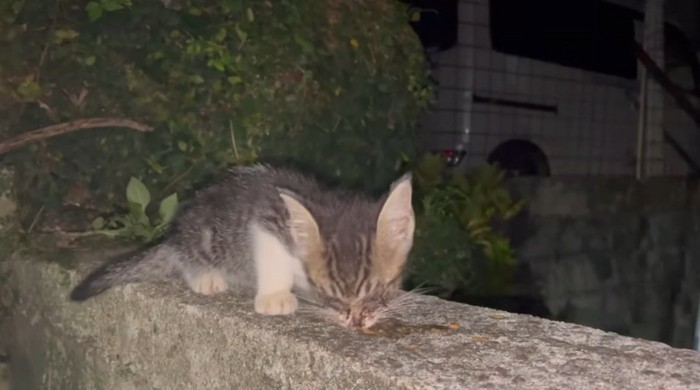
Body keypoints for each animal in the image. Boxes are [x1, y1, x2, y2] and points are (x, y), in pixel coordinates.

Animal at [69, 165, 416, 330]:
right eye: (331, 295)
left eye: (378, 290)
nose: (355, 321)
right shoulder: (266, 221)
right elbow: (271, 256)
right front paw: (275, 297)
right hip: (203, 237)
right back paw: (205, 277)